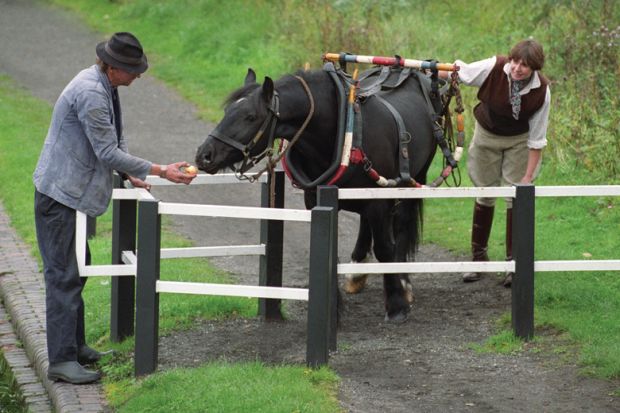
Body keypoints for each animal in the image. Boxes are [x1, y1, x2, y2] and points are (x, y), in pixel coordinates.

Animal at [197, 66, 436, 320]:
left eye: (250, 116)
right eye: (226, 111)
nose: (204, 155)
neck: (345, 133)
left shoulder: (378, 201)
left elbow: (384, 248)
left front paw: (397, 305)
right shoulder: (316, 198)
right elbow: (326, 248)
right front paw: (334, 307)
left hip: (414, 178)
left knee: (401, 225)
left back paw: (403, 281)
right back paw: (358, 271)